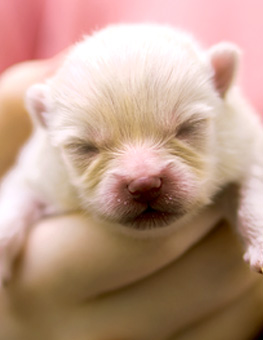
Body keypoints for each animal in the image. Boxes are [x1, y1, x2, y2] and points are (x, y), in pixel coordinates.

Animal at [0, 24, 263, 284]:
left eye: (188, 127)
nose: (144, 185)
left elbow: (253, 191)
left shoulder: (246, 145)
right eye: (85, 147)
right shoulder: (37, 173)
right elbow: (15, 201)